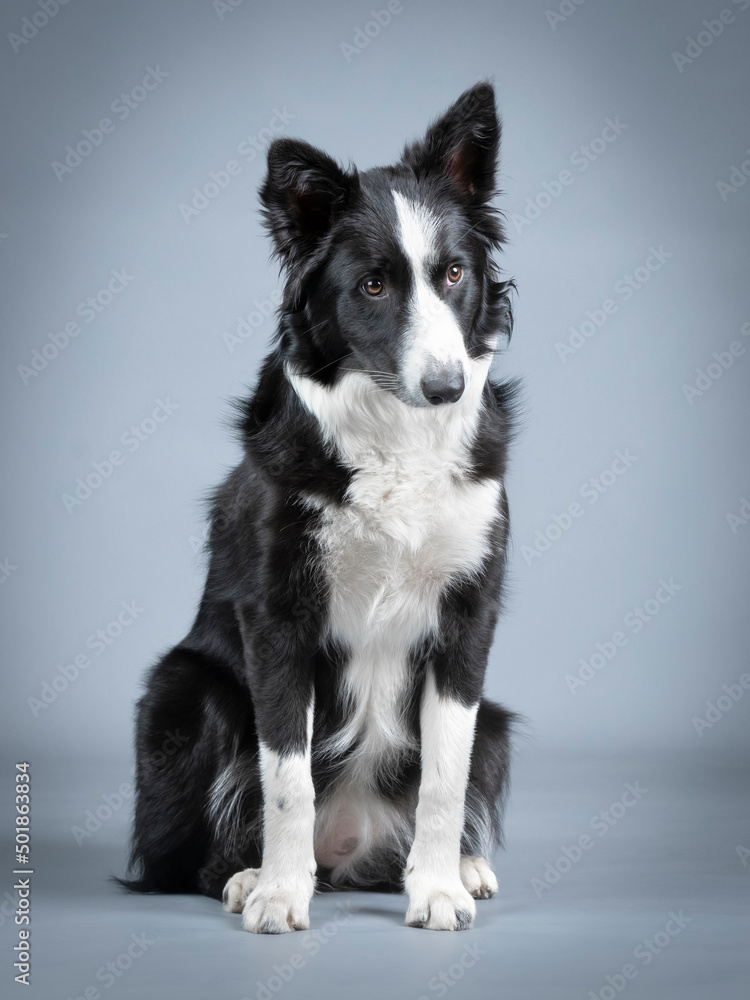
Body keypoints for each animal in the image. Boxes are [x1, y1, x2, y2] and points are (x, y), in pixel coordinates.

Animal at [120, 82, 520, 932]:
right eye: (373, 285)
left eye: (454, 273)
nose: (447, 388)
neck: (397, 434)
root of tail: (349, 852)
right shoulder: (279, 617)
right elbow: (287, 778)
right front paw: (278, 892)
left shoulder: (468, 614)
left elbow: (444, 776)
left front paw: (437, 888)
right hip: (185, 690)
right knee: (190, 857)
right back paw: (246, 875)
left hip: (498, 720)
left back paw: (457, 868)